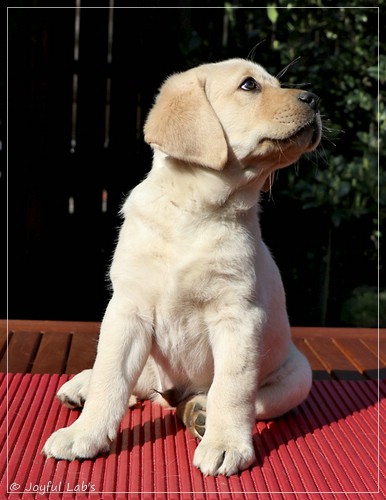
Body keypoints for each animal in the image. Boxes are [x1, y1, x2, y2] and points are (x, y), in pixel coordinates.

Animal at [43, 57, 322, 476]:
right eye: (249, 85)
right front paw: (84, 434)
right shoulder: (128, 310)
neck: (195, 211)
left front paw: (225, 444)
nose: (315, 98)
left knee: (238, 399)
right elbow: (110, 376)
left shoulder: (239, 316)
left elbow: (232, 388)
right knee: (131, 384)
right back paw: (82, 388)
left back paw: (199, 412)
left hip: (298, 376)